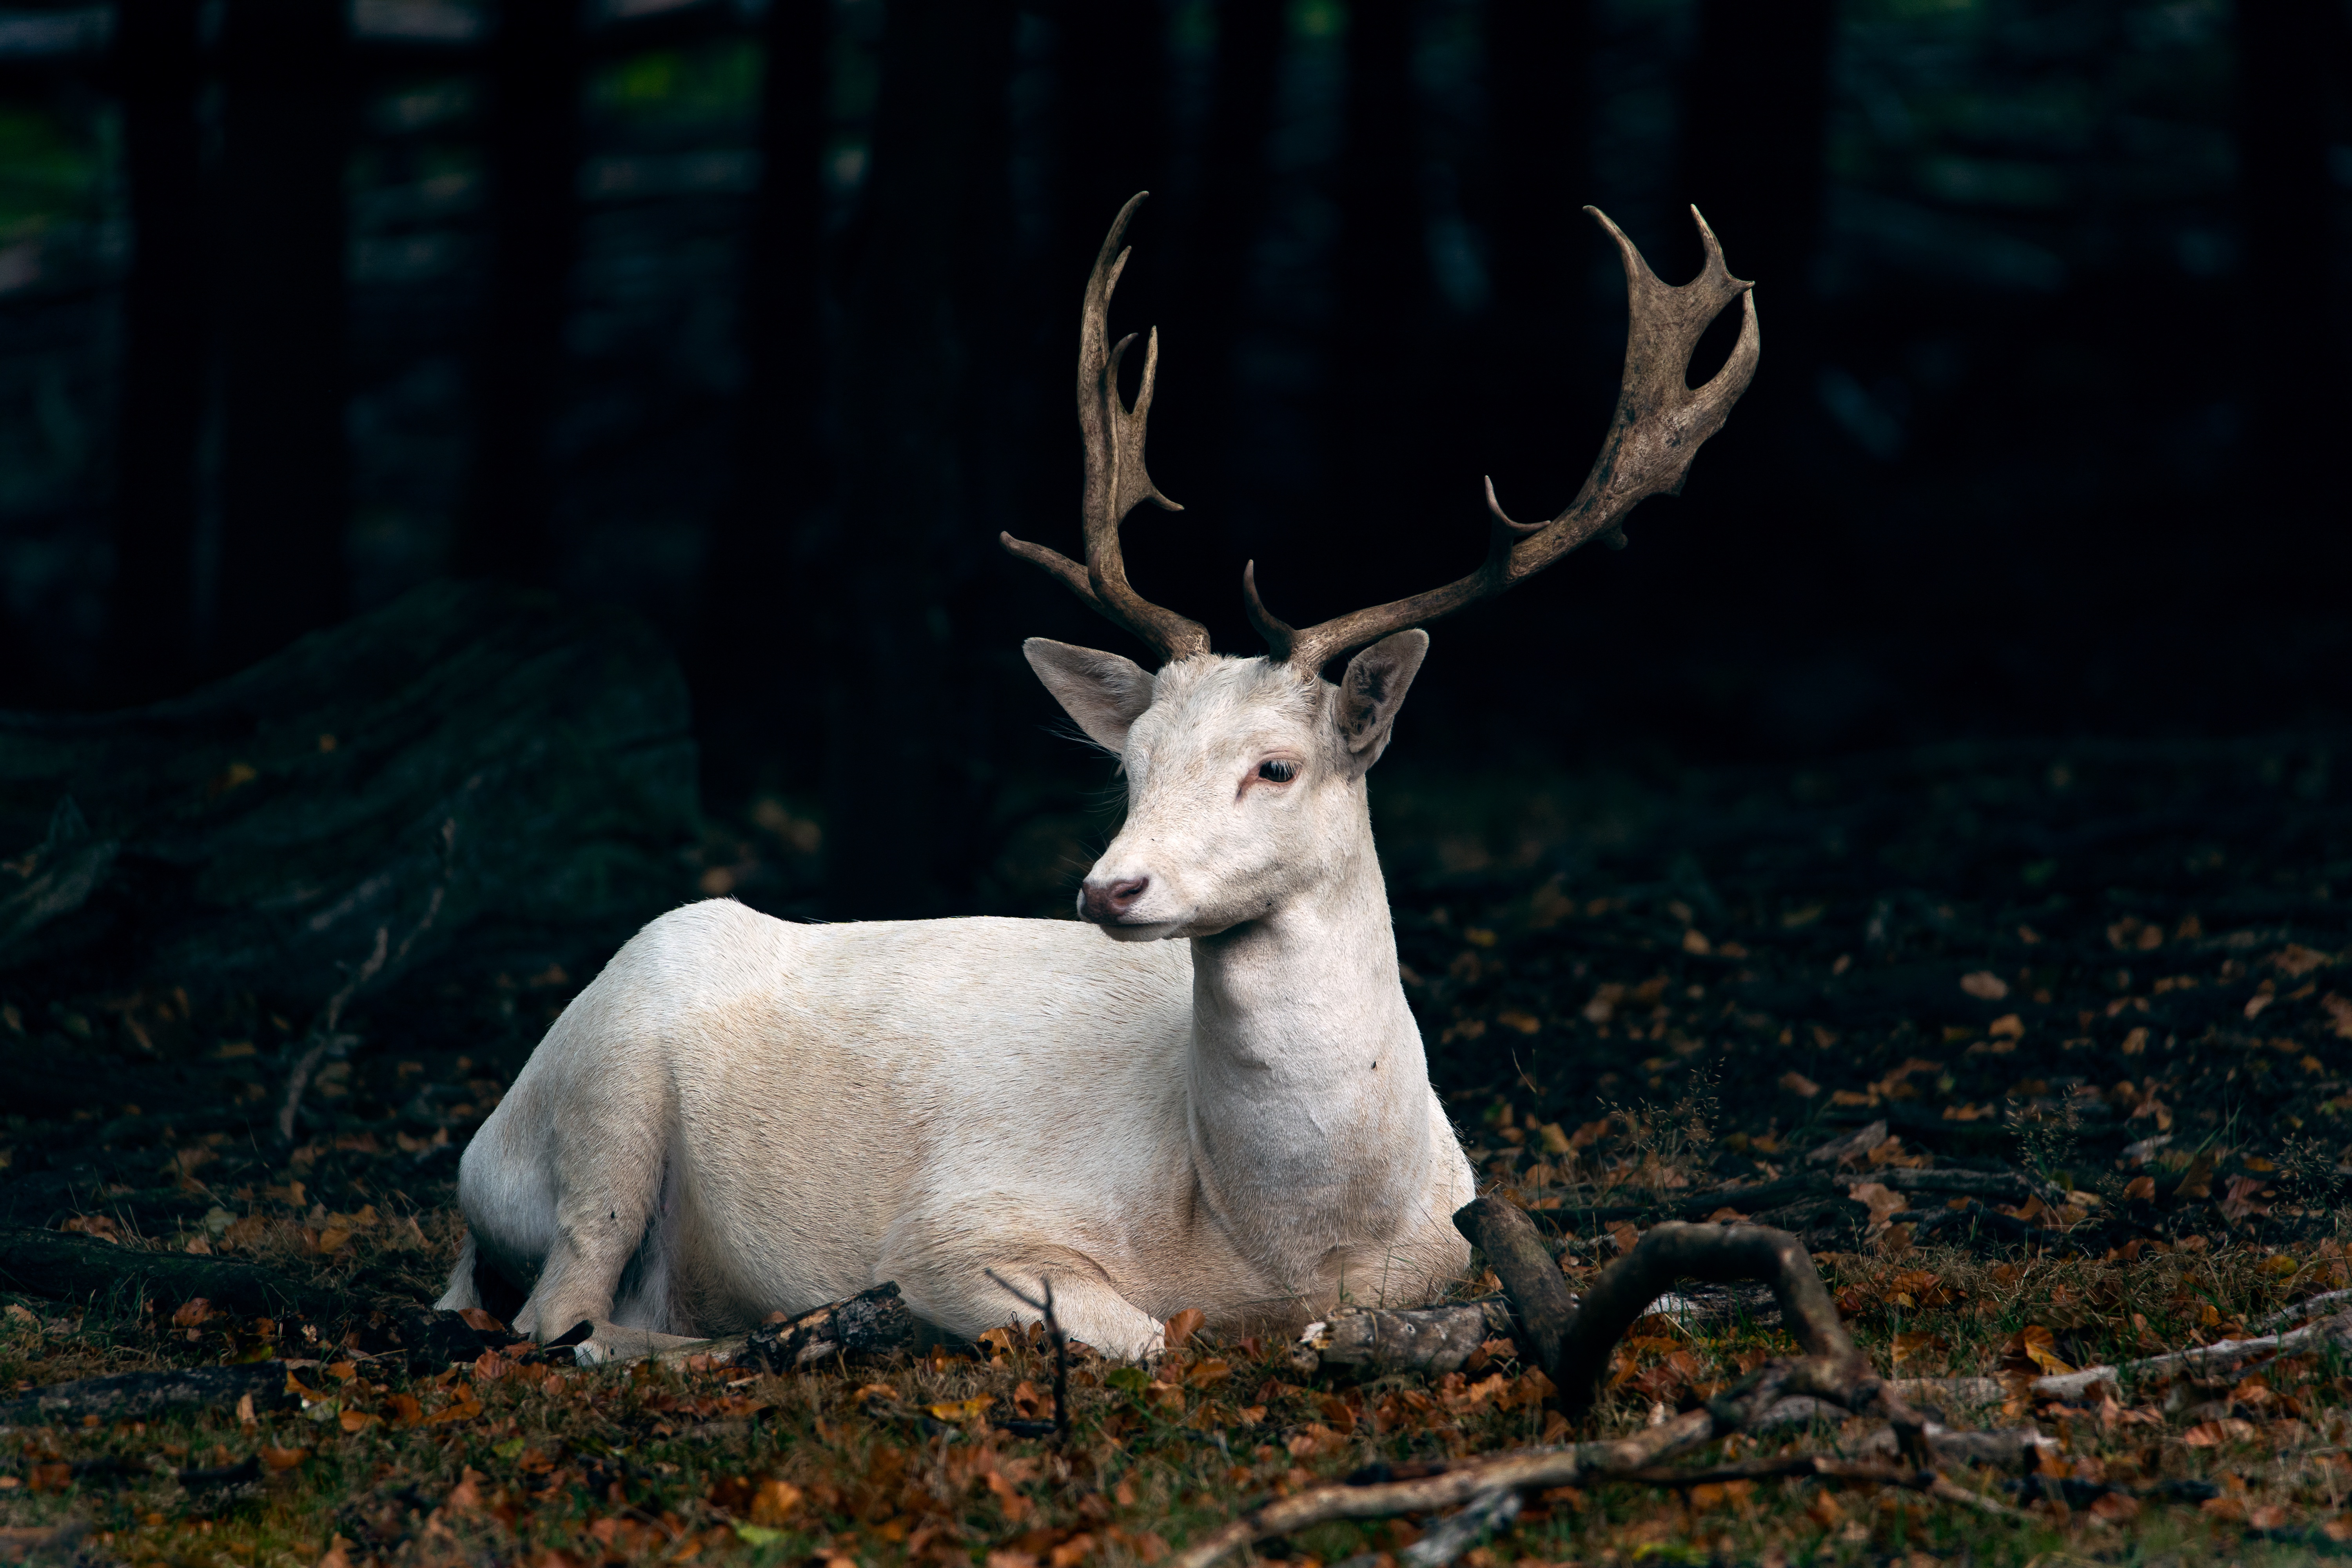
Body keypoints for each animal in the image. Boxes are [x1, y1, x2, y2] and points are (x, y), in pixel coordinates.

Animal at [442, 196, 1759, 1363]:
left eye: (1275, 765)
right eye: (1131, 765)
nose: (1107, 889)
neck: (1286, 1238)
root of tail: (479, 1148)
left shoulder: (1447, 1241)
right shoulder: (956, 1227)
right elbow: (1149, 1340)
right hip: (601, 1105)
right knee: (551, 1322)